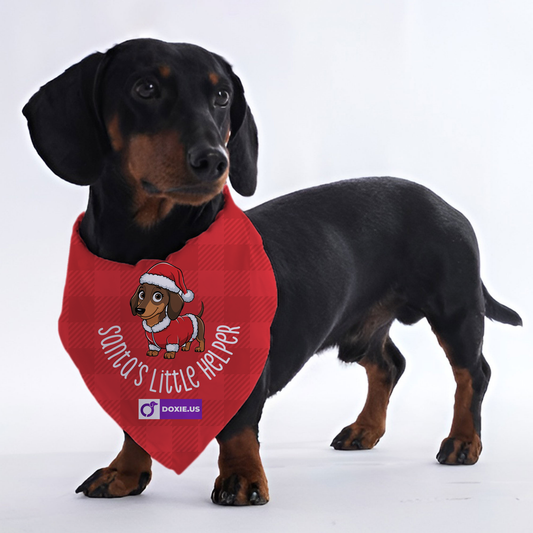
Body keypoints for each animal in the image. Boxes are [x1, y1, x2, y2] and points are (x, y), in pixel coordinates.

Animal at [23, 38, 520, 508]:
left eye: (222, 96)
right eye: (145, 87)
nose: (214, 160)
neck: (151, 249)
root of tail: (446, 204)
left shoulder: (247, 357)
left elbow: (239, 426)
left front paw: (242, 478)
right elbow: (137, 421)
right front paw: (124, 473)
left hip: (456, 310)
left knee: (473, 373)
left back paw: (463, 441)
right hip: (360, 330)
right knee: (389, 365)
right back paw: (365, 429)